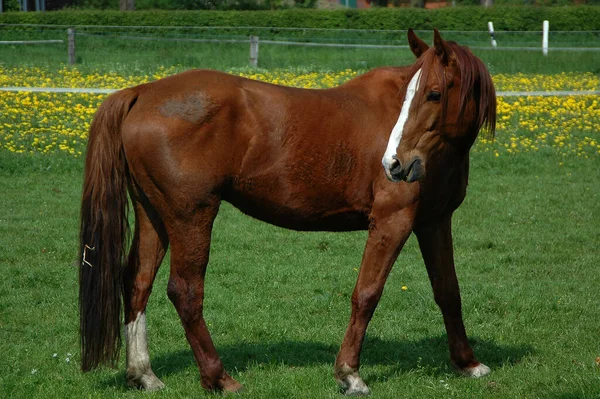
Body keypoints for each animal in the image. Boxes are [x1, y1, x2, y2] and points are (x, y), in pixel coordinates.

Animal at [77, 28, 494, 396]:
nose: (394, 163)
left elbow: (448, 290)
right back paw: (219, 378)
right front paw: (350, 375)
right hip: (190, 217)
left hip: (154, 217)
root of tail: (141, 92)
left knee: (137, 283)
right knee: (185, 291)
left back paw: (143, 375)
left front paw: (468, 363)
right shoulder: (392, 221)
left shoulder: (434, 222)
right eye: (411, 93)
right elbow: (367, 293)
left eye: (434, 93)